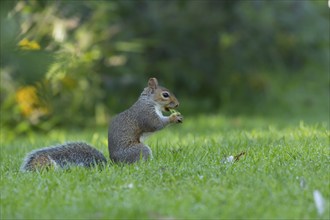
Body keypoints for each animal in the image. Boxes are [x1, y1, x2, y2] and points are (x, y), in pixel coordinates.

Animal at [20, 78, 183, 172]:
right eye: (165, 95)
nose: (177, 104)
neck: (149, 101)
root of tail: (114, 164)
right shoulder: (145, 114)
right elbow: (155, 124)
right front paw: (174, 117)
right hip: (139, 150)